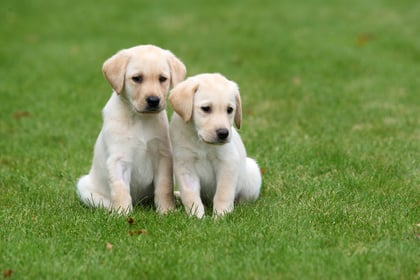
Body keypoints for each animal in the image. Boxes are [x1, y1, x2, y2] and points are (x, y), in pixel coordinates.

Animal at [77, 44, 185, 213]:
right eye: (137, 78)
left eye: (162, 78)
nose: (153, 100)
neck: (140, 119)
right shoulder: (118, 159)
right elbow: (120, 190)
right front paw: (122, 213)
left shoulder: (162, 156)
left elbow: (164, 187)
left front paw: (167, 211)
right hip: (84, 187)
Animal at [169, 73, 260, 218]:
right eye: (206, 108)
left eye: (230, 110)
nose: (223, 133)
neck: (201, 142)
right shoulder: (185, 166)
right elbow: (190, 195)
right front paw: (196, 216)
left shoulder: (227, 162)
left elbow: (223, 193)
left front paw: (221, 216)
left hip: (252, 174)